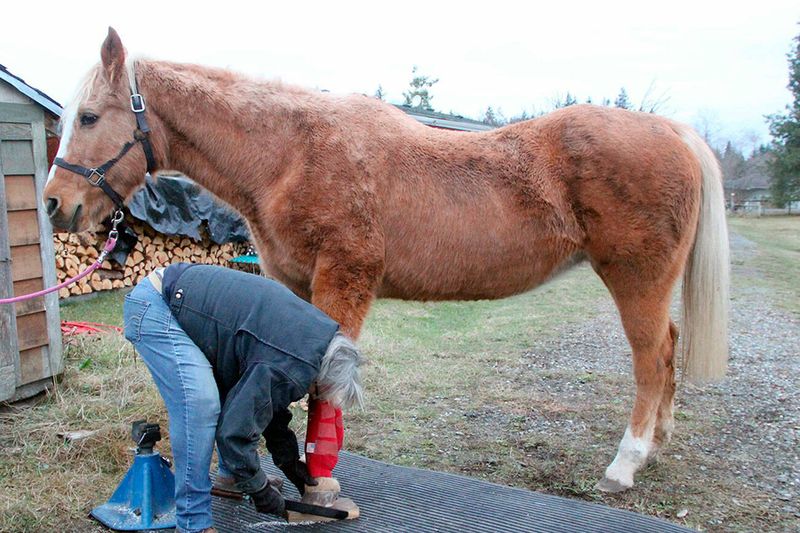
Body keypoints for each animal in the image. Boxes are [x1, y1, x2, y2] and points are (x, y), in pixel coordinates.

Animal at [45, 26, 732, 490]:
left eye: (89, 116)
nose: (54, 204)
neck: (292, 151)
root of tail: (675, 132)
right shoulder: (291, 285)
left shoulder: (344, 281)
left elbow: (324, 385)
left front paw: (321, 482)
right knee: (667, 353)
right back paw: (658, 444)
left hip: (636, 280)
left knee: (652, 361)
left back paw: (626, 463)